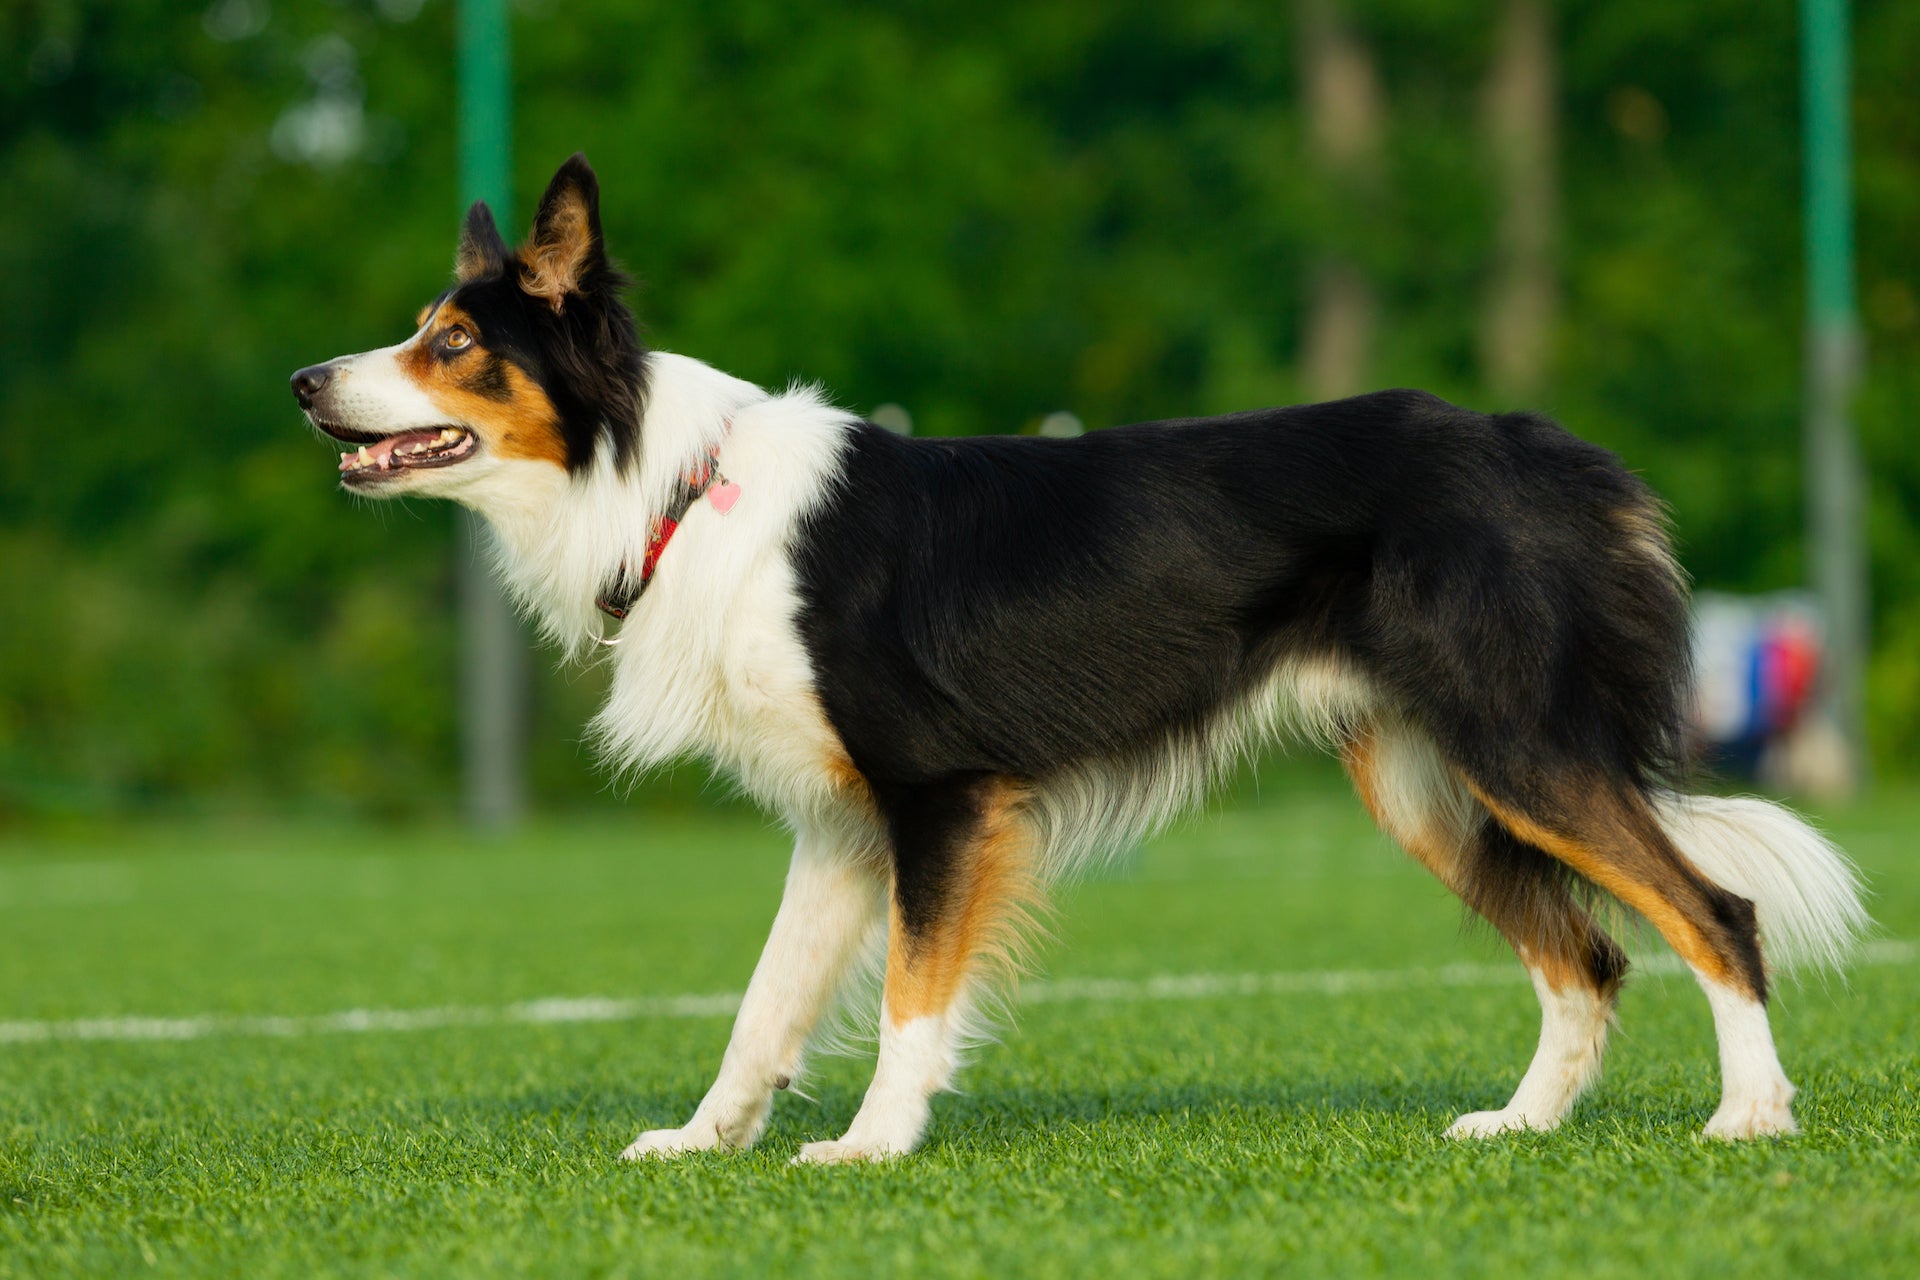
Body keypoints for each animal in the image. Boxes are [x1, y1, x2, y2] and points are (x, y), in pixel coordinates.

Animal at [291, 152, 1866, 1159]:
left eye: (449, 341)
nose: (308, 381)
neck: (669, 484)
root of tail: (1552, 451)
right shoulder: (845, 827)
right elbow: (762, 1006)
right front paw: (701, 1140)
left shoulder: (941, 799)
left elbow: (913, 996)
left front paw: (871, 1147)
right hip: (1433, 782)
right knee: (1588, 951)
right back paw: (1523, 1124)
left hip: (1520, 746)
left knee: (1713, 910)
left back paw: (1748, 1116)